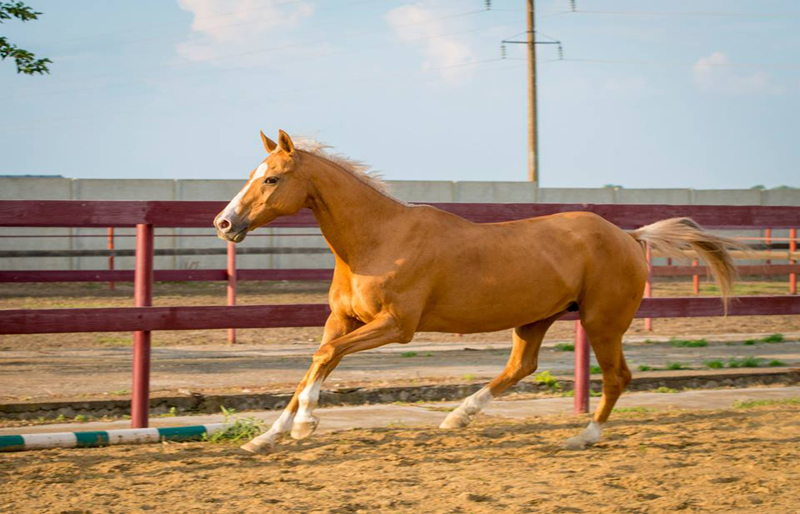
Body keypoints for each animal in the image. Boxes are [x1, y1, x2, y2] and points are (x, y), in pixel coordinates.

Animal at [211, 131, 736, 452]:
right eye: (253, 174)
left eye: (272, 177)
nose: (224, 223)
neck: (378, 240)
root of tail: (628, 236)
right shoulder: (344, 321)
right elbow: (315, 363)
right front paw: (266, 437)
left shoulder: (396, 326)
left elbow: (322, 359)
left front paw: (303, 427)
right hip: (538, 317)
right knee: (522, 366)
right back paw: (457, 417)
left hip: (602, 321)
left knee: (616, 377)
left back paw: (583, 437)